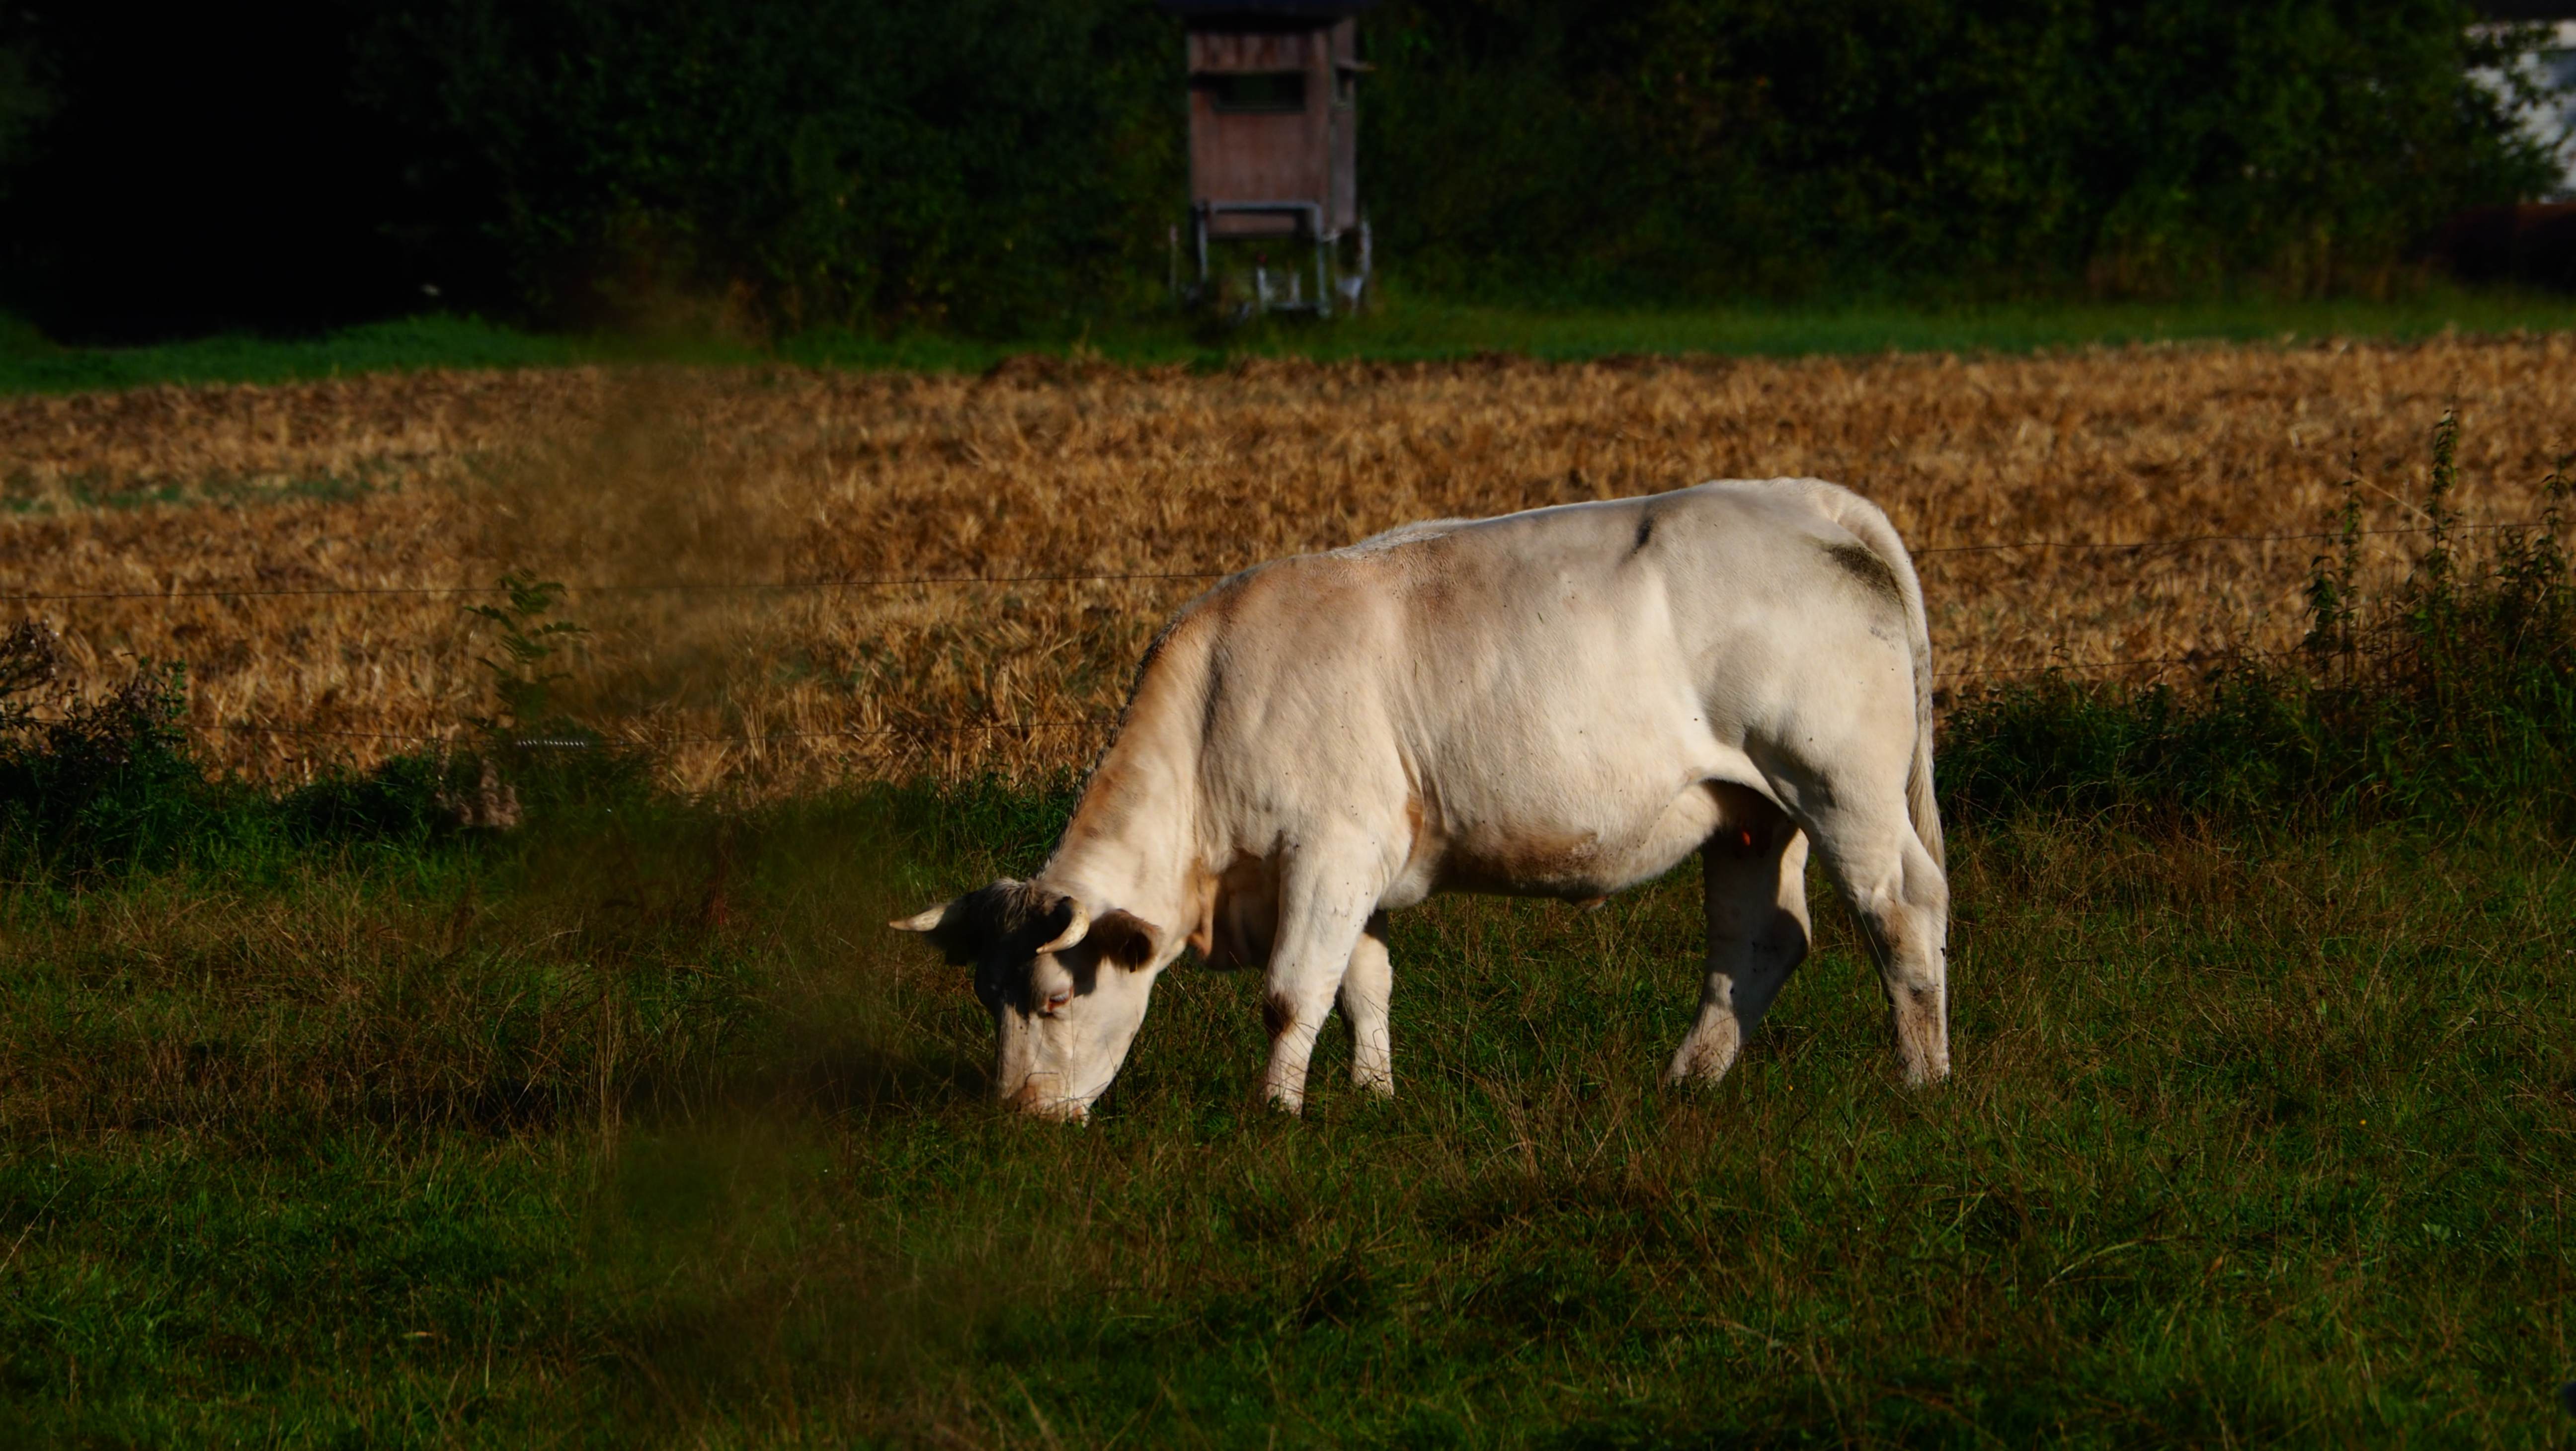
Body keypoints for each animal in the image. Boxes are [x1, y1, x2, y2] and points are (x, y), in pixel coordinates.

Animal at [896, 479, 1937, 1124]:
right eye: (984, 995)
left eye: (1051, 999)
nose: (1019, 1115)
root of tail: (1796, 497)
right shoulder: (1350, 873)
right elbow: (1363, 986)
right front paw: (1373, 1095)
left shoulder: (1330, 851)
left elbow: (1292, 993)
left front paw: (1274, 1112)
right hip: (1750, 814)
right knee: (1758, 944)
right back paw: (1684, 1082)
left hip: (1840, 788)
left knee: (1901, 913)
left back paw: (1920, 1081)